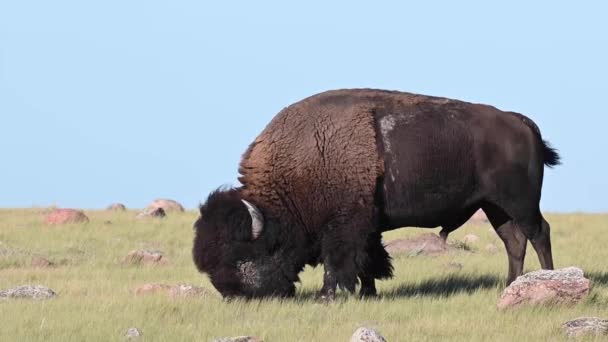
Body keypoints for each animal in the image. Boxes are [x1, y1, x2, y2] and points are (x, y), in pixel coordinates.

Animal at [192, 89, 560, 300]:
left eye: (241, 255)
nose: (231, 294)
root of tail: (519, 122)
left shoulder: (343, 226)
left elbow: (338, 262)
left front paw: (328, 296)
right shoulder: (367, 226)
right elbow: (369, 261)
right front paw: (368, 294)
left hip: (520, 202)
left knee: (538, 233)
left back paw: (547, 278)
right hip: (495, 207)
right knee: (513, 241)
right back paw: (510, 284)